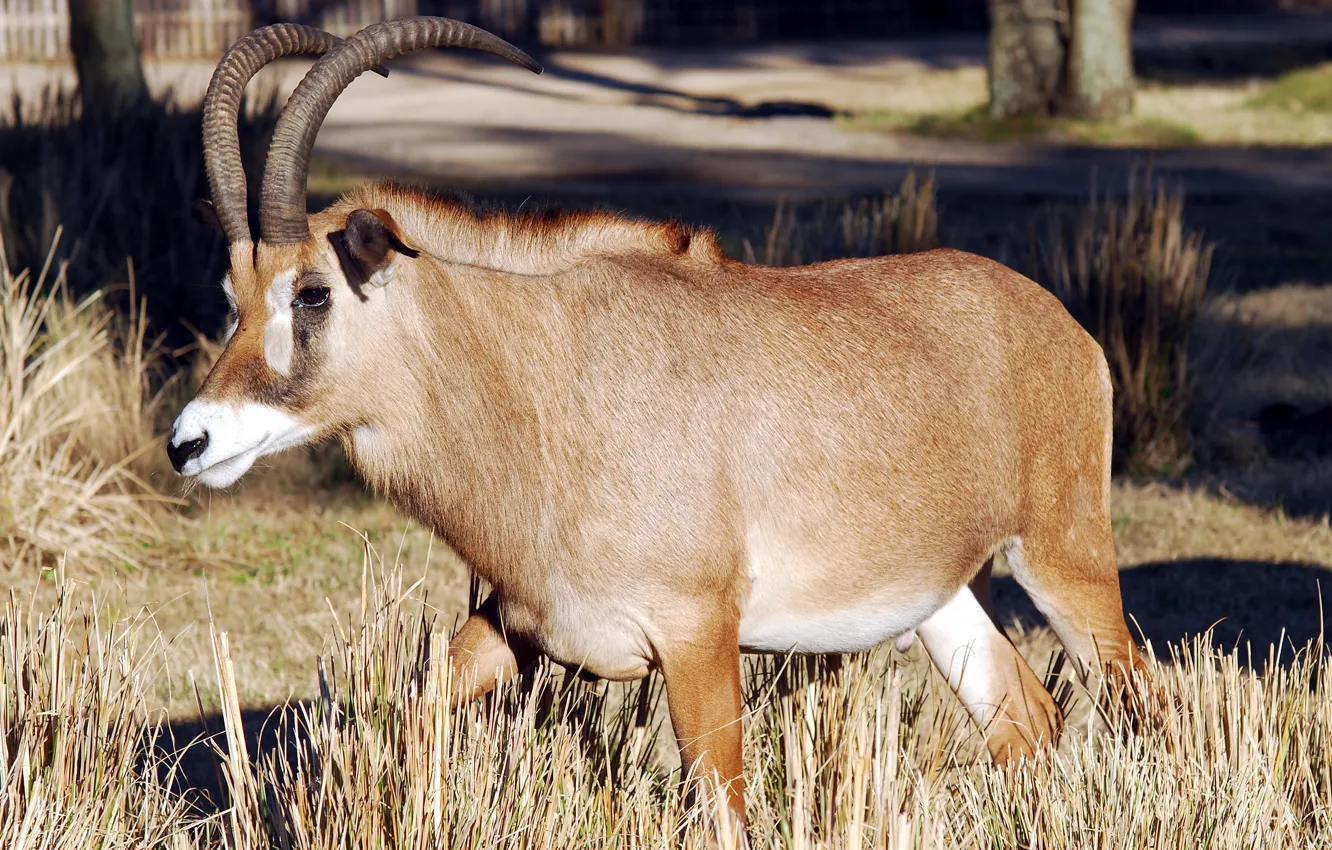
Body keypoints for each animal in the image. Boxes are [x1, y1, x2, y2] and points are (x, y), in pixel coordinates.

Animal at [171, 16, 1150, 831]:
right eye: (231, 292)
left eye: (312, 293)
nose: (191, 442)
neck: (544, 379)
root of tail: (1065, 328)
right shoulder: (522, 625)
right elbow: (405, 718)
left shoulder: (697, 636)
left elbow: (721, 808)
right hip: (943, 598)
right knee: (1027, 718)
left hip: (1062, 557)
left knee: (1139, 700)